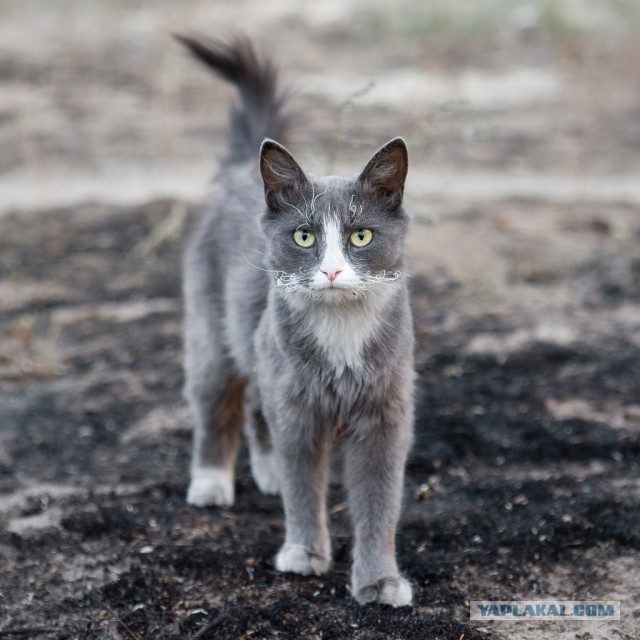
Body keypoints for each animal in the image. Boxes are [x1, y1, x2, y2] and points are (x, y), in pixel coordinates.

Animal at [178, 33, 416, 604]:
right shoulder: (300, 409)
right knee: (217, 405)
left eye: (360, 236)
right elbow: (304, 486)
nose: (330, 271)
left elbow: (380, 503)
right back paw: (211, 482)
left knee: (258, 409)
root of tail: (245, 172)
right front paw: (305, 554)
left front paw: (380, 580)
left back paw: (265, 472)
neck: (341, 332)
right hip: (214, 337)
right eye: (304, 237)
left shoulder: (384, 417)